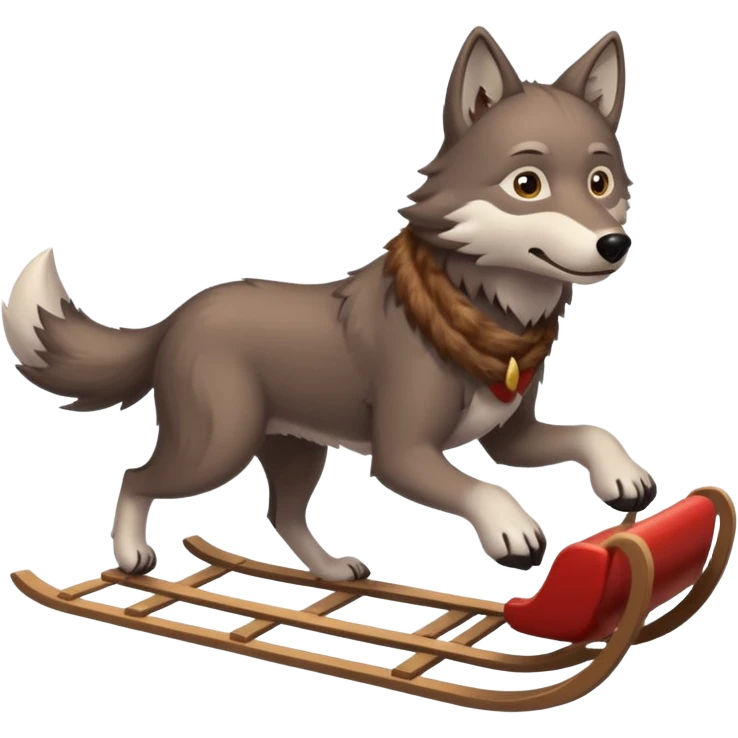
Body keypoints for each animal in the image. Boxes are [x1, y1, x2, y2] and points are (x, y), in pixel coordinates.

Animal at [2, 27, 653, 581]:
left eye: (600, 182)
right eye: (527, 185)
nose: (615, 244)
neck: (484, 313)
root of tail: (177, 318)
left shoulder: (510, 438)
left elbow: (592, 432)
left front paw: (625, 476)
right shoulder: (402, 453)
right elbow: (483, 487)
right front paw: (512, 527)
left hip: (295, 448)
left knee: (282, 514)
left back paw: (332, 570)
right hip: (216, 445)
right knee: (138, 476)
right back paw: (132, 555)